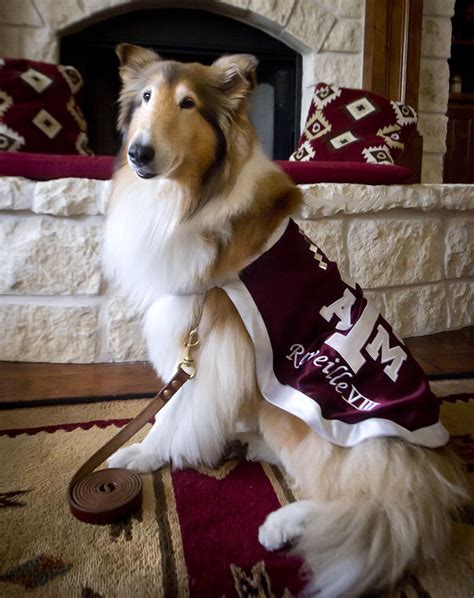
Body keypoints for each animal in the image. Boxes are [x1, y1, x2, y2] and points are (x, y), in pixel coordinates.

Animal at [102, 43, 468, 598]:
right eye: (145, 97)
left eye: (187, 103)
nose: (138, 154)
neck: (194, 195)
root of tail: (432, 468)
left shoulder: (212, 344)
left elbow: (175, 410)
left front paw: (145, 454)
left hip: (299, 404)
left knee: (370, 505)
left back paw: (283, 523)